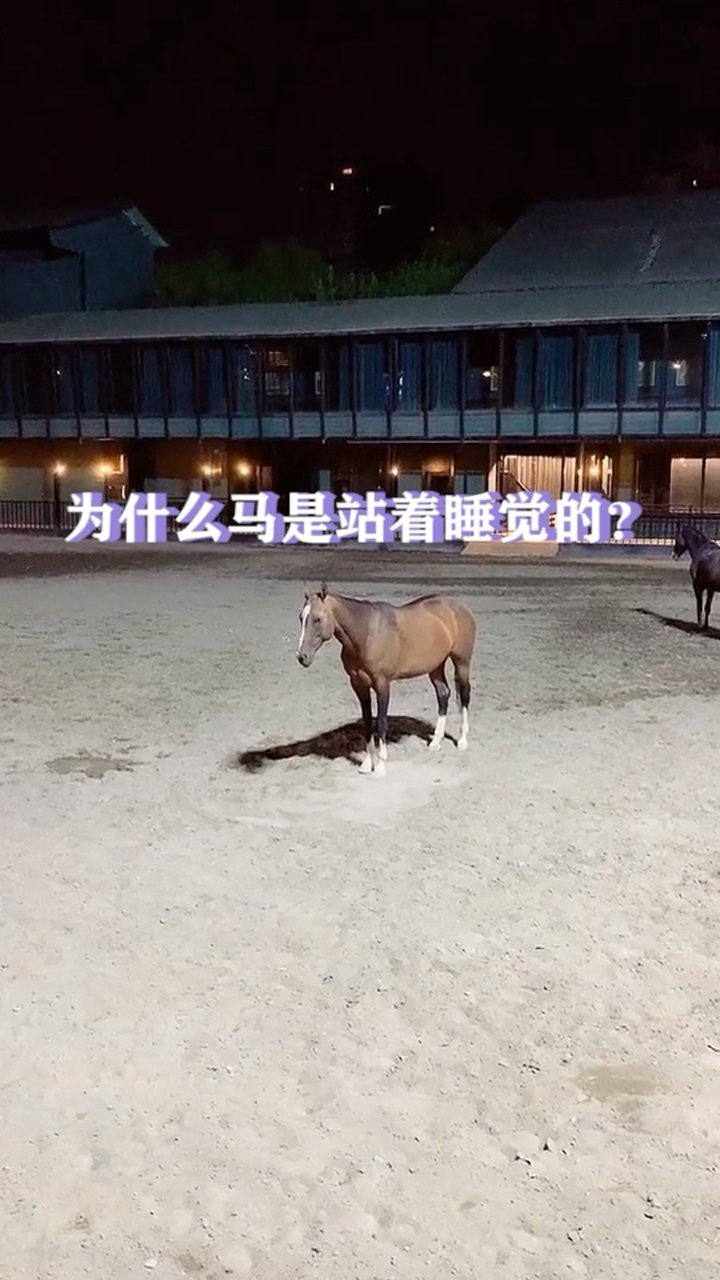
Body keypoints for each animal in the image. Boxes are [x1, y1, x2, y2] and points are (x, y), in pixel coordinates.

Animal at [296, 583, 476, 777]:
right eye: (301, 618)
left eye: (317, 619)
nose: (302, 657)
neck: (365, 633)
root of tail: (459, 606)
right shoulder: (359, 685)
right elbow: (367, 722)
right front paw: (367, 764)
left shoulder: (382, 684)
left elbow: (381, 723)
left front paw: (380, 767)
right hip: (435, 665)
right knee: (443, 694)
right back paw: (435, 742)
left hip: (462, 662)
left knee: (464, 695)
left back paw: (462, 741)